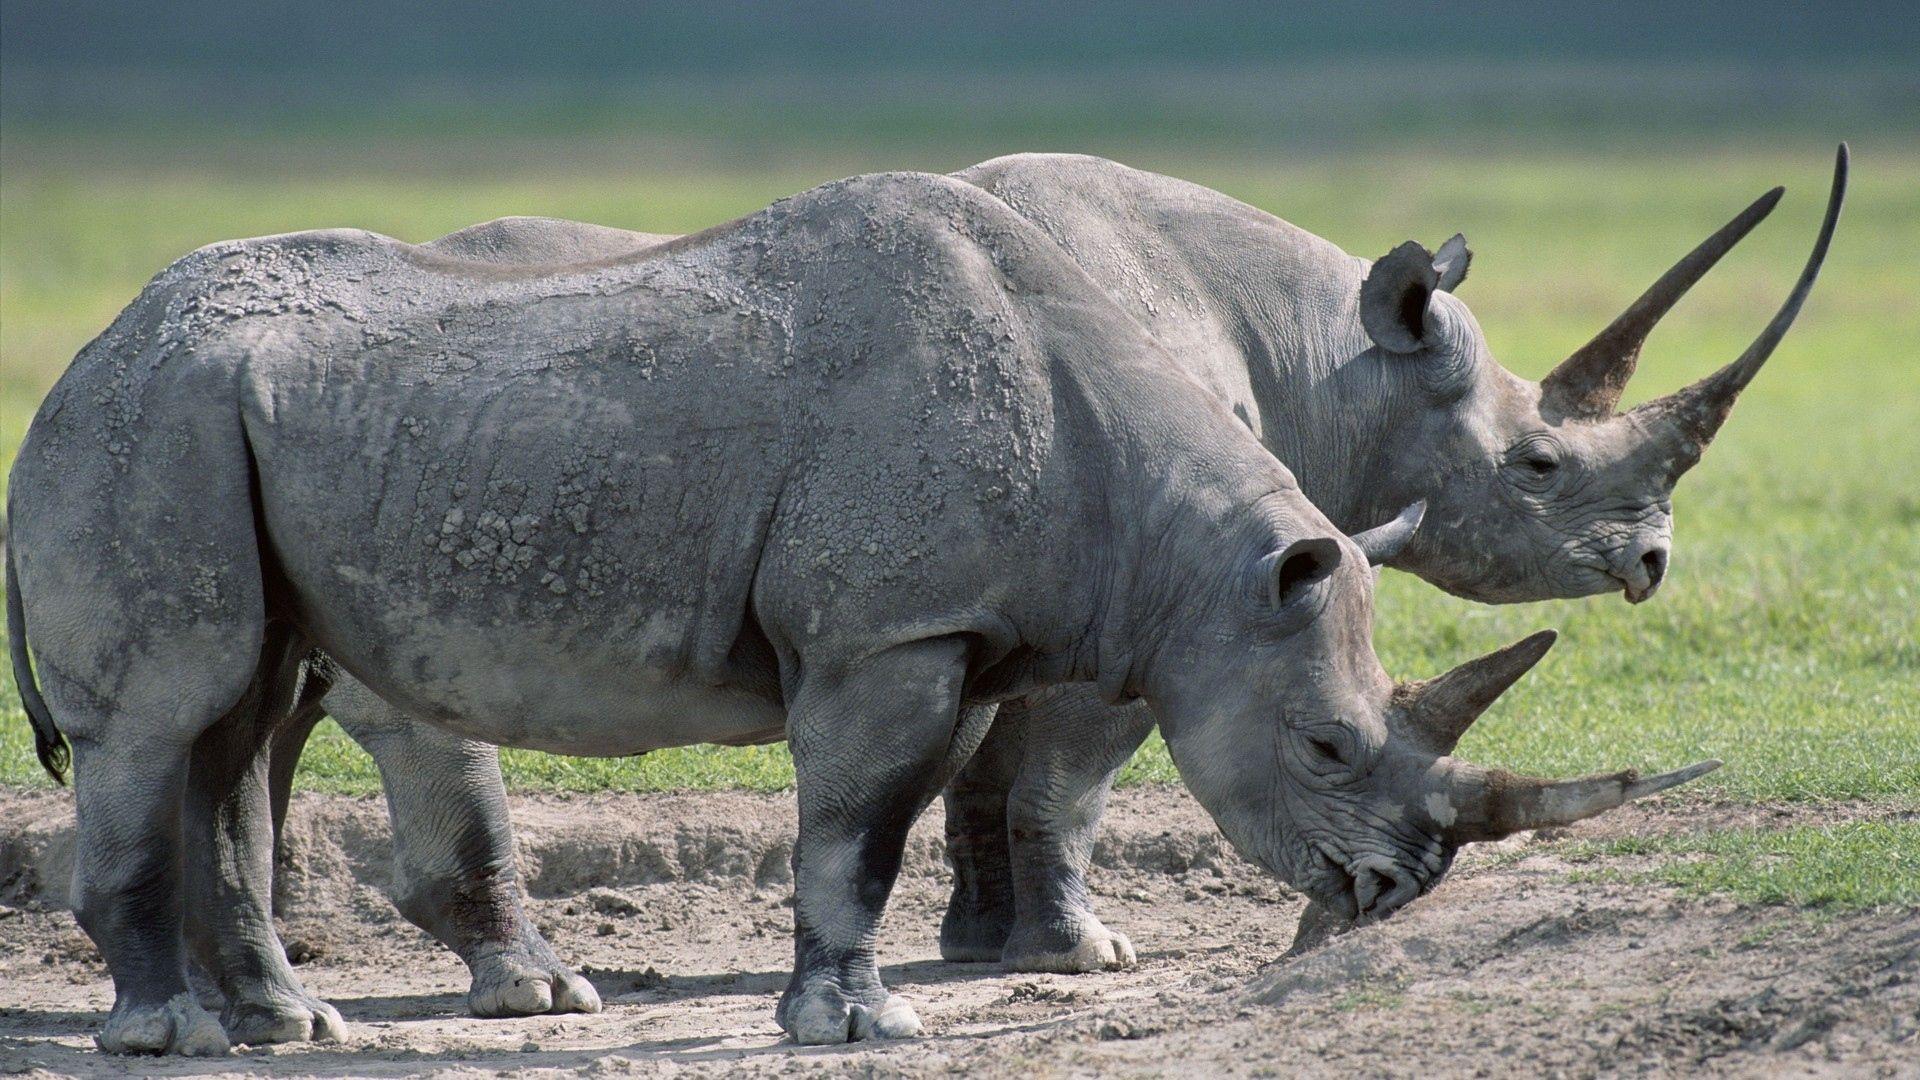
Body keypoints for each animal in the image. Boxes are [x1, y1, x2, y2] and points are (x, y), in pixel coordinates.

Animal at [5, 168, 1719, 1054]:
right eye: (1324, 750)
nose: (1395, 888)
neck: (1181, 547)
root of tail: (80, 359)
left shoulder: (958, 626)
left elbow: (898, 820)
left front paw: (864, 991)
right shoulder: (886, 633)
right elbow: (860, 827)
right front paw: (861, 1025)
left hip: (229, 424)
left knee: (242, 720)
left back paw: (289, 1027)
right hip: (151, 422)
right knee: (169, 718)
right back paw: (172, 1037)